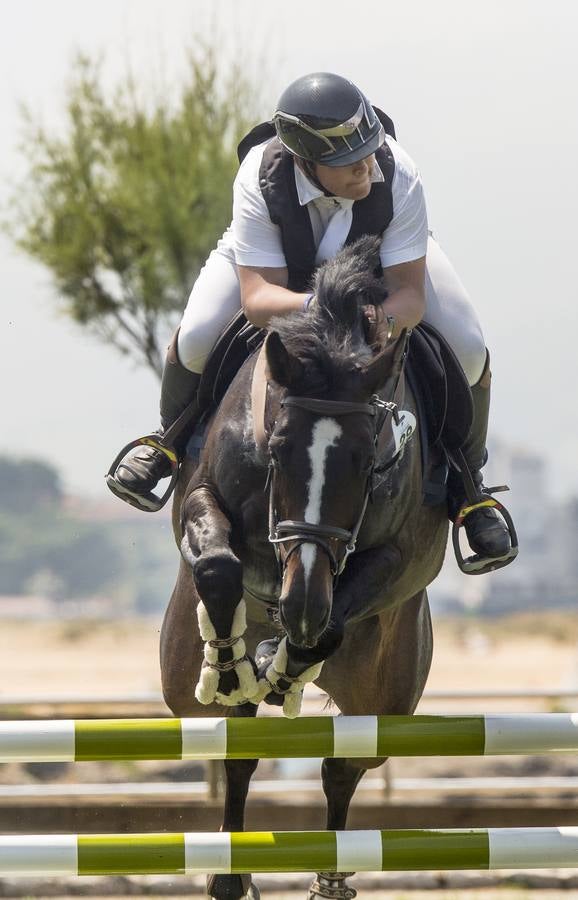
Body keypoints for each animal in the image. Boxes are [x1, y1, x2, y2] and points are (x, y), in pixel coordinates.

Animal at [160, 236, 448, 896]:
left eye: (370, 460)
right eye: (277, 448)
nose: (302, 606)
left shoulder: (398, 556)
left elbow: (334, 622)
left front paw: (285, 661)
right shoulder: (203, 495)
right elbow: (217, 567)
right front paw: (232, 664)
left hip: (387, 696)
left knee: (344, 764)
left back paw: (328, 878)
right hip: (180, 684)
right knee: (237, 748)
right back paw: (231, 874)